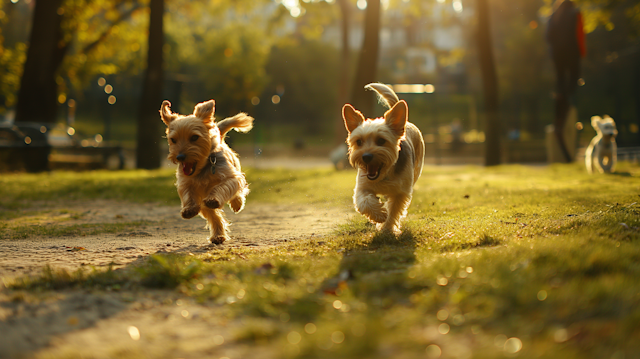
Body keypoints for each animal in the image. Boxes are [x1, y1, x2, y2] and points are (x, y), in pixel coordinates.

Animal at [161, 99, 254, 245]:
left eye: (194, 137)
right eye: (173, 140)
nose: (180, 157)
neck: (203, 167)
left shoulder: (230, 177)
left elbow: (223, 187)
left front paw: (214, 199)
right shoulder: (187, 184)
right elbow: (189, 195)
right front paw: (189, 209)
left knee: (238, 192)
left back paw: (237, 203)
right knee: (214, 216)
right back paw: (218, 236)